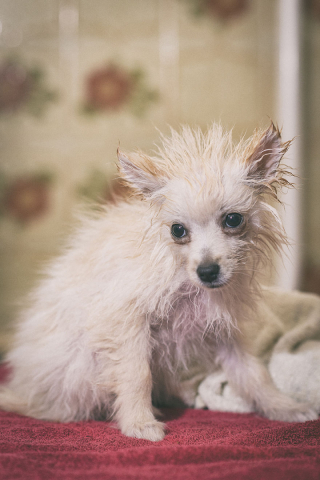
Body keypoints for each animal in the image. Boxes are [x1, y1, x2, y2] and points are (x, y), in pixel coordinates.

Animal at [0, 123, 320, 438]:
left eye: (233, 220)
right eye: (177, 230)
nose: (207, 272)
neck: (186, 283)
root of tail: (30, 394)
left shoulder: (224, 333)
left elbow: (254, 373)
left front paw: (283, 407)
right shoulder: (127, 323)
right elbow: (138, 375)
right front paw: (139, 422)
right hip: (81, 372)